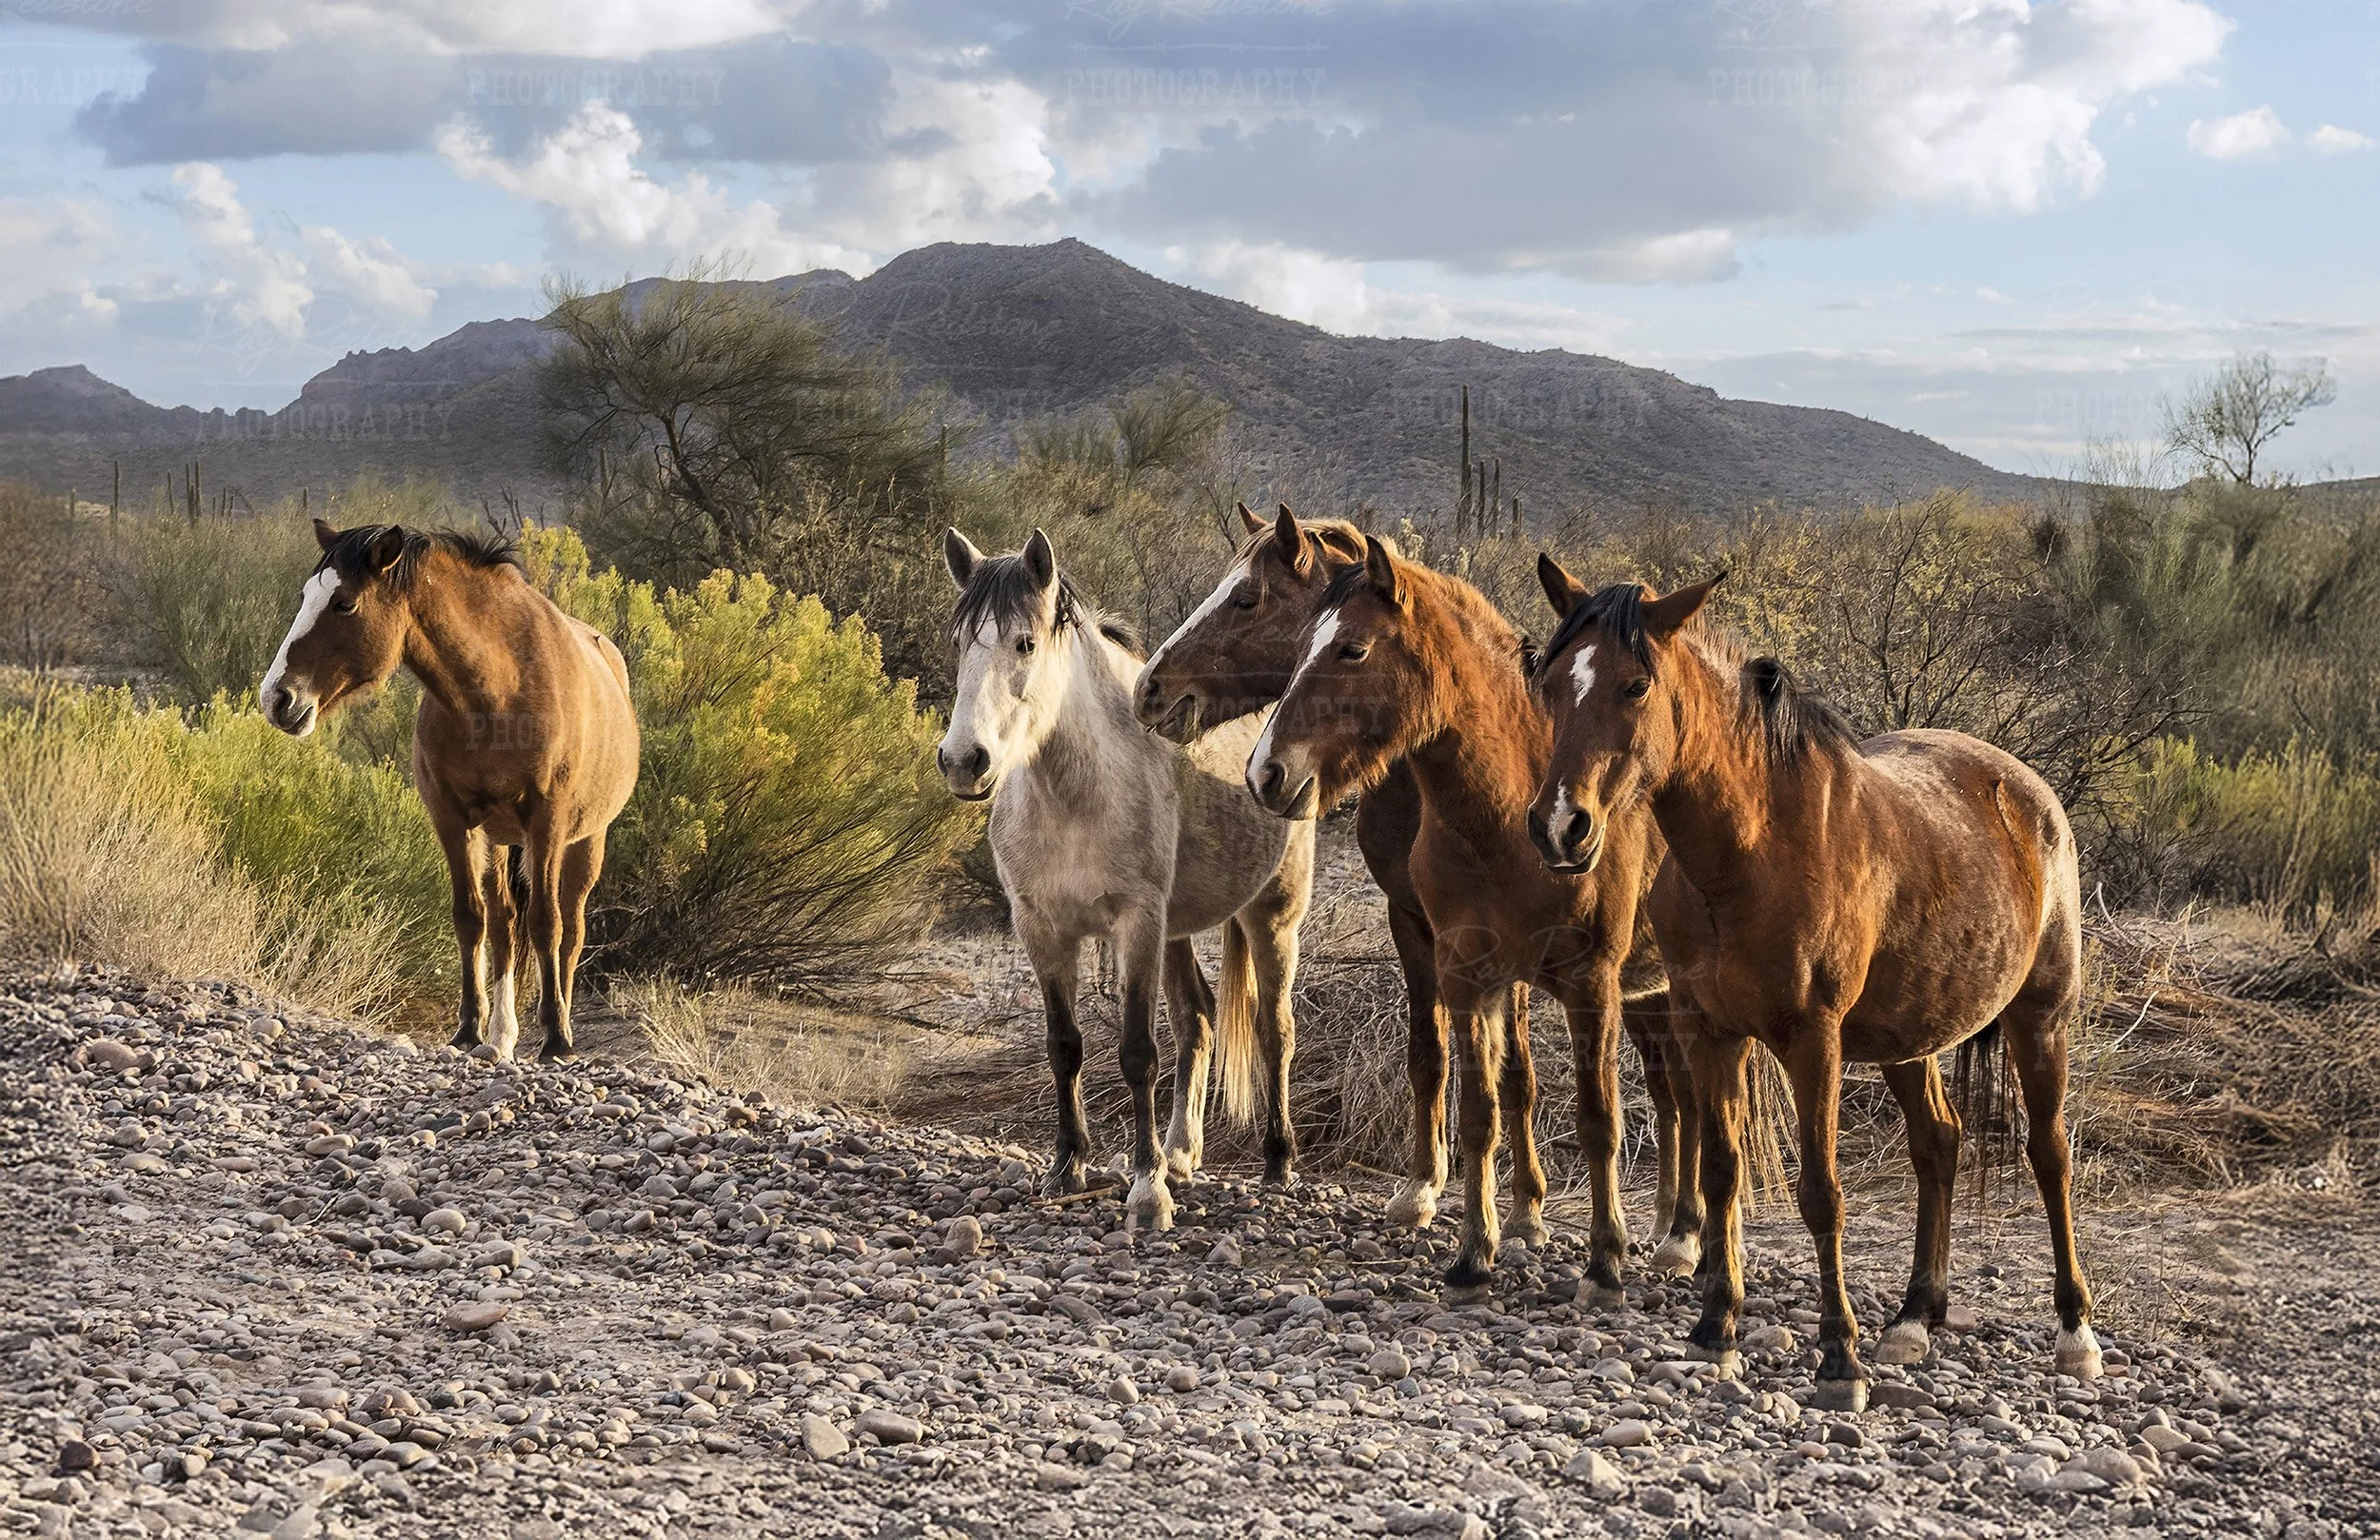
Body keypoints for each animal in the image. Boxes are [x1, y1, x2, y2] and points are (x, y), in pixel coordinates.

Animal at [261, 520, 641, 1062]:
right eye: (304, 596)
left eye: (344, 603)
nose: (277, 698)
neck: (499, 688)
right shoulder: (452, 818)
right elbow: (471, 918)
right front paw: (468, 1030)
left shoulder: (547, 822)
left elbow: (546, 924)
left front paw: (555, 1039)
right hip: (500, 839)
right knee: (504, 922)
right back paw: (502, 1036)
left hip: (586, 840)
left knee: (570, 929)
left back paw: (561, 1024)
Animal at [939, 527, 1315, 1232]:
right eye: (958, 644)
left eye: (1025, 643)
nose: (963, 760)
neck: (1075, 796)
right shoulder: (1041, 928)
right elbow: (1064, 1046)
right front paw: (1068, 1166)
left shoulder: (1136, 923)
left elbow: (1138, 1054)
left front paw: (1146, 1190)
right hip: (1177, 932)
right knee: (1198, 1022)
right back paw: (1180, 1153)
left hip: (1272, 918)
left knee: (1275, 1031)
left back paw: (1277, 1161)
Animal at [1138, 503, 1698, 1254]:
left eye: (1247, 597)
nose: (1150, 689)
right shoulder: (1415, 923)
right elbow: (1431, 1052)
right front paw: (1424, 1187)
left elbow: (1515, 1072)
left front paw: (1526, 1208)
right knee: (1669, 1085)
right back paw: (1668, 1219)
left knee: (1681, 1086)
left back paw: (1681, 1228)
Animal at [1523, 561, 2100, 1411]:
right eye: (1552, 681)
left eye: (1635, 685)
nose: (1560, 826)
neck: (1750, 853)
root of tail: (2029, 793)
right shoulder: (1709, 1030)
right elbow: (1722, 1172)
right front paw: (1716, 1330)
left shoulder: (1812, 1040)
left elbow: (1822, 1193)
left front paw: (1838, 1358)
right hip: (1910, 1038)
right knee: (1939, 1143)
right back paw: (1915, 1316)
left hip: (2041, 1020)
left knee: (2049, 1153)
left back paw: (2075, 1332)